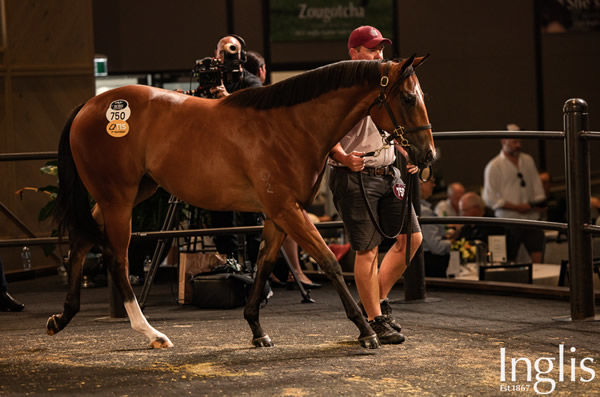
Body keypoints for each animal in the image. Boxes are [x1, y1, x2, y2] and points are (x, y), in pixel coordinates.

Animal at [47, 56, 432, 350]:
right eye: (408, 98)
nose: (427, 154)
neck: (290, 125)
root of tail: (89, 106)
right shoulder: (287, 211)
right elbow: (329, 263)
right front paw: (366, 332)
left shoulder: (278, 216)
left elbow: (262, 266)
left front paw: (257, 331)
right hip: (119, 199)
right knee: (117, 258)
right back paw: (151, 333)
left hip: (124, 195)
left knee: (82, 240)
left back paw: (61, 317)